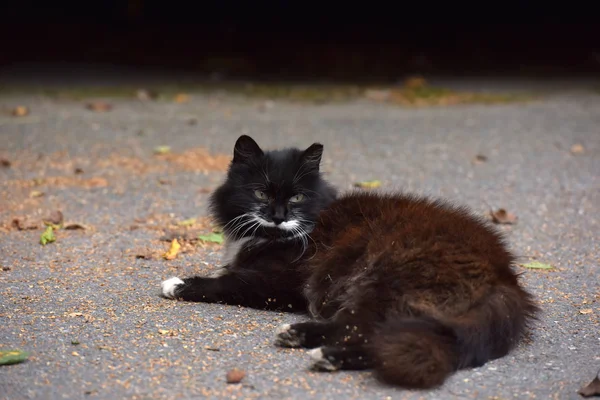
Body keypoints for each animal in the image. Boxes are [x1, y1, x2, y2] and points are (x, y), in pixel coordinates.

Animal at [161, 134, 540, 388]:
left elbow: (228, 280)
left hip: (381, 279)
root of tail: (505, 277)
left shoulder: (281, 281)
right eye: (260, 193)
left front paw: (179, 283)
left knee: (360, 329)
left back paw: (316, 349)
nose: (279, 217)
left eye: (297, 197)